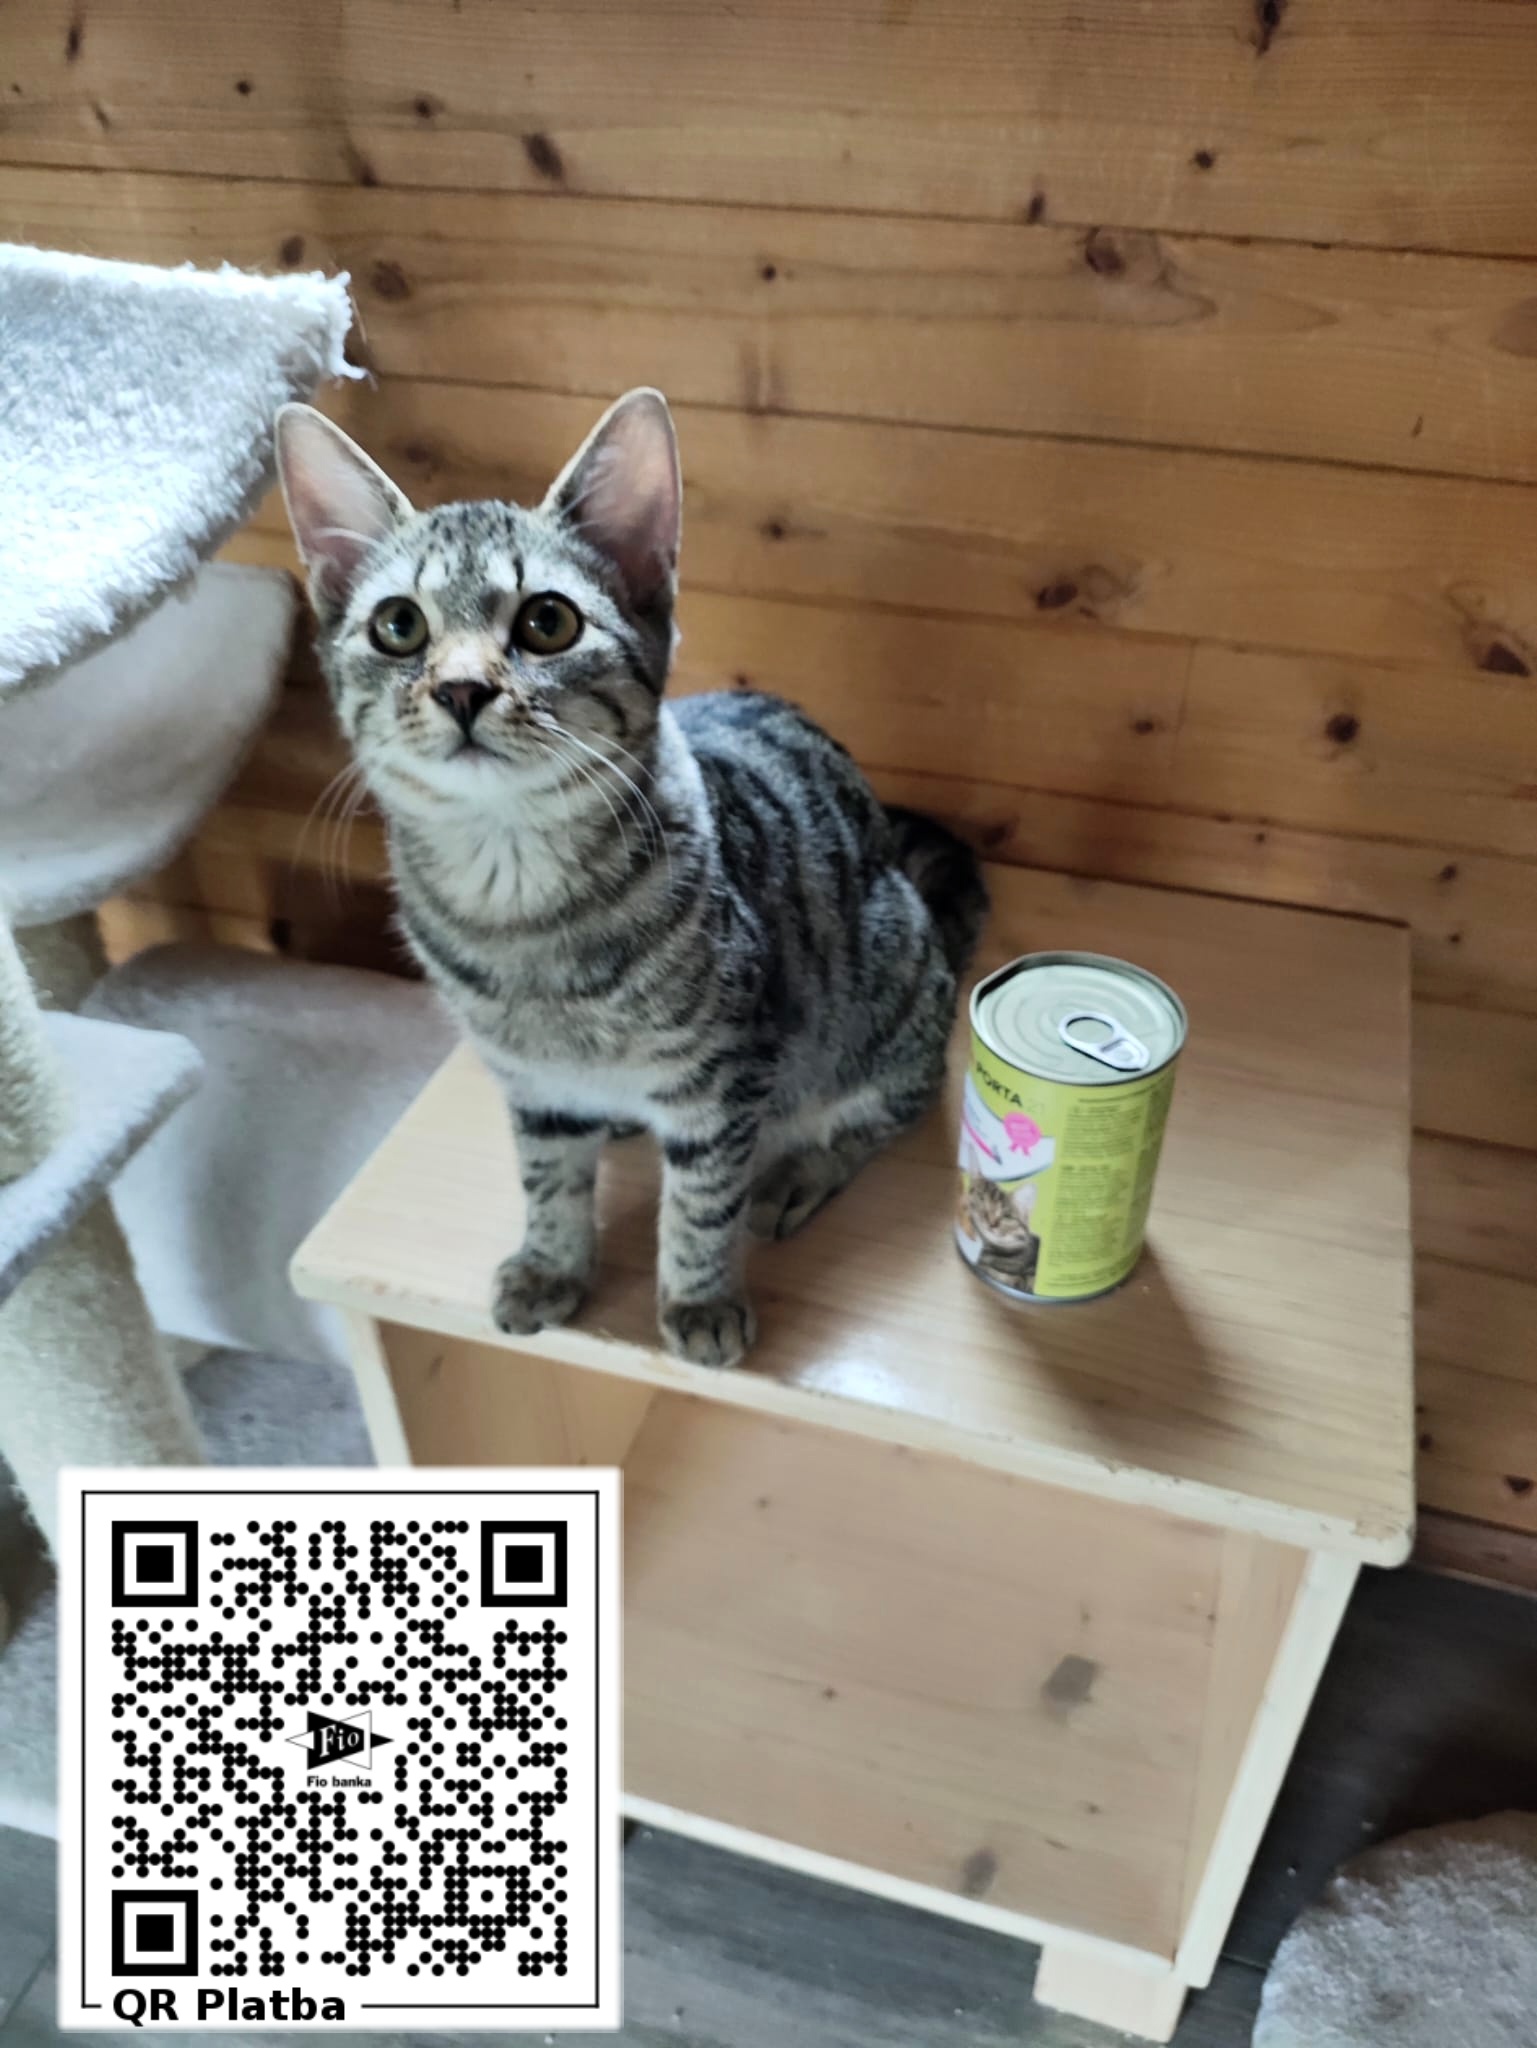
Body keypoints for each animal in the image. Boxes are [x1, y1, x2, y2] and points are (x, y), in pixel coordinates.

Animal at [276, 388, 987, 1368]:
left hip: (884, 990)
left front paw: (698, 1298)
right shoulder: (530, 1083)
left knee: (891, 1107)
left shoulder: (723, 1078)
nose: (461, 688)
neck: (519, 912)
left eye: (547, 622)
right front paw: (551, 1264)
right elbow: (547, 1177)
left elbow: (701, 1204)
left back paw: (798, 1172)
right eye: (399, 626)